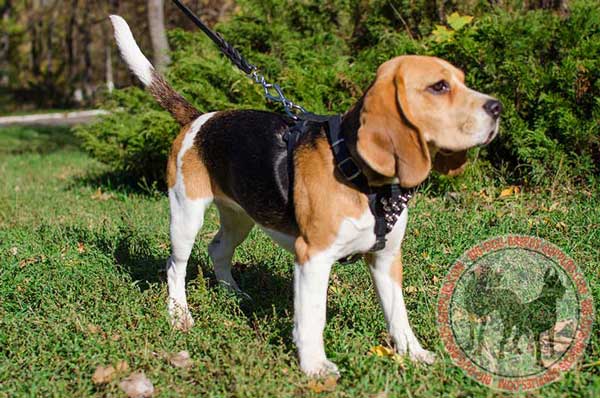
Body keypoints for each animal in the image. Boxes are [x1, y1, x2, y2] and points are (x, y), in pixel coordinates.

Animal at [109, 14, 502, 376]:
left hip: (240, 216)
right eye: (439, 87)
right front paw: (314, 366)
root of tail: (200, 118)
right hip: (186, 215)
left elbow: (397, 313)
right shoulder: (312, 257)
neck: (360, 174)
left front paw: (413, 353)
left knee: (218, 248)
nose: (497, 107)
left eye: (462, 81)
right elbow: (313, 317)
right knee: (175, 267)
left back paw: (233, 293)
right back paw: (179, 315)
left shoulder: (386, 257)